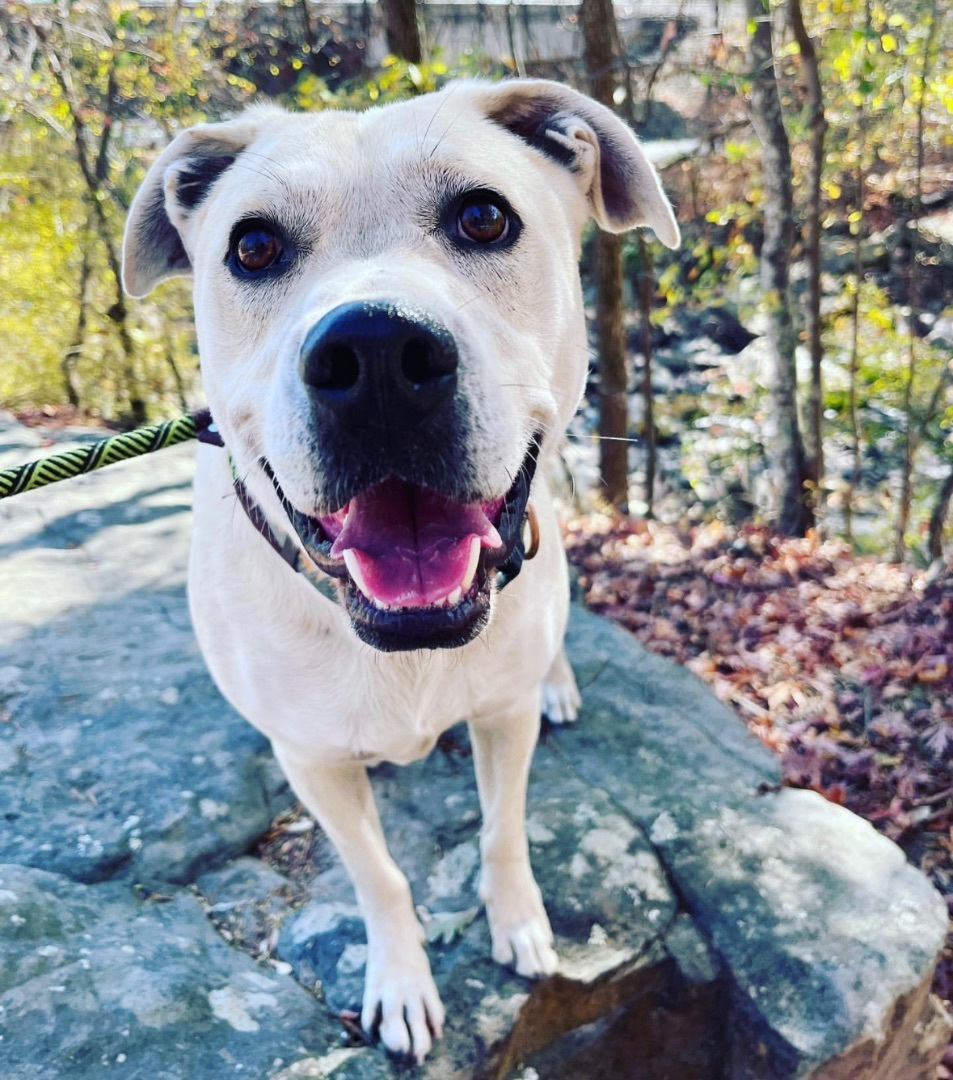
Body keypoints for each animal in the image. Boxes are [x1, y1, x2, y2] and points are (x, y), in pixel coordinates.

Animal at [120, 79, 674, 1058]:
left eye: (484, 217)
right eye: (252, 247)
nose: (375, 354)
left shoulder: (500, 717)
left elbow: (501, 831)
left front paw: (518, 921)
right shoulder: (313, 763)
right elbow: (378, 876)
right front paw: (402, 981)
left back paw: (559, 679)